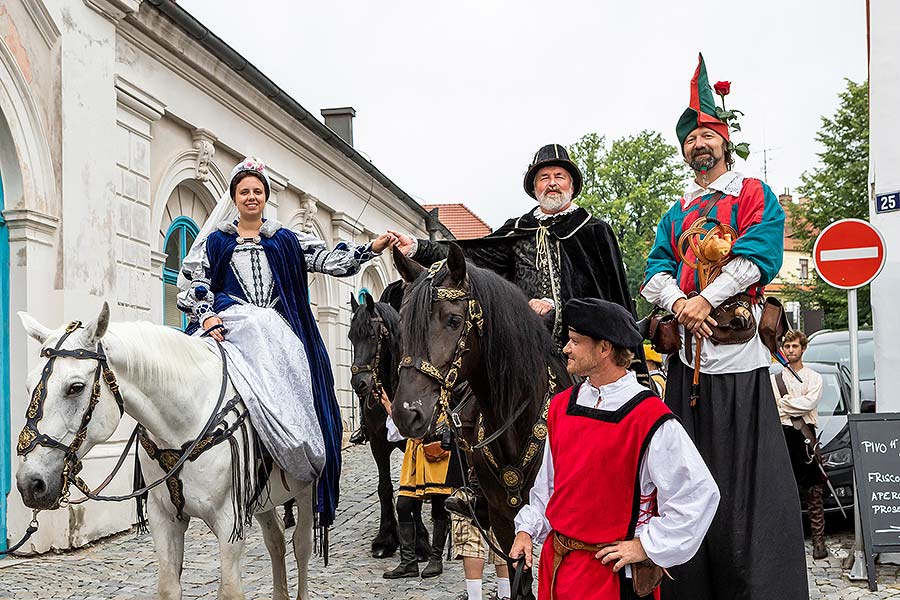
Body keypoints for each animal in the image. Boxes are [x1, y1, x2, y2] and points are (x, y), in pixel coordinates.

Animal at [14, 304, 318, 600]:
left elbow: (230, 590)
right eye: (27, 386)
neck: (186, 424)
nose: (30, 483)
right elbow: (169, 587)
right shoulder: (164, 520)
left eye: (75, 387)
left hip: (306, 488)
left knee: (302, 545)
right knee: (275, 538)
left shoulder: (229, 522)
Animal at [348, 292, 428, 560]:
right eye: (351, 336)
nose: (359, 383)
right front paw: (386, 538)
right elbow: (384, 487)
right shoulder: (378, 443)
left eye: (372, 335)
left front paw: (420, 541)